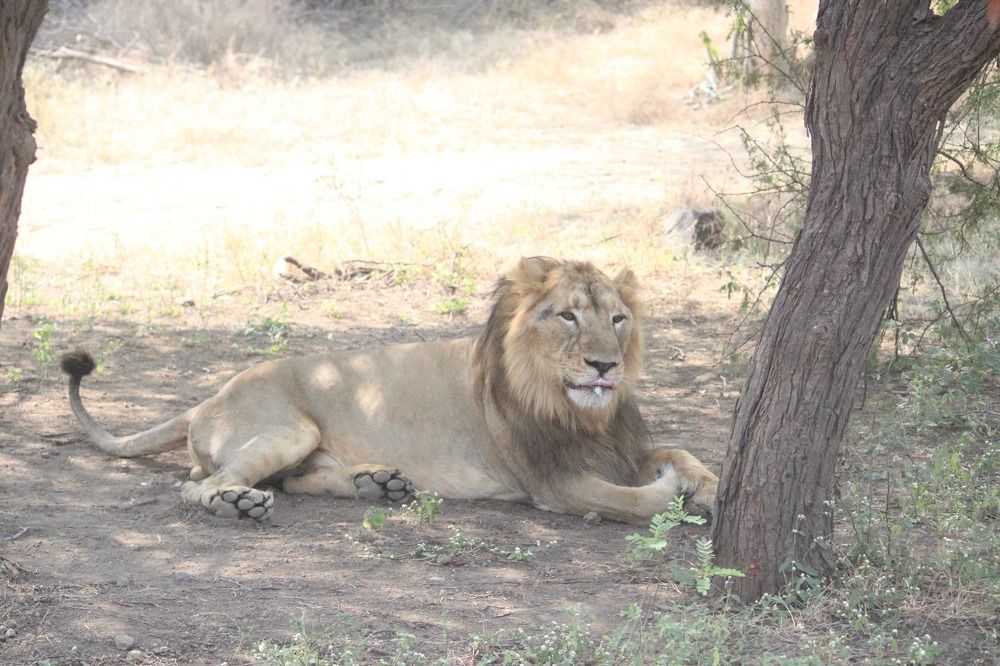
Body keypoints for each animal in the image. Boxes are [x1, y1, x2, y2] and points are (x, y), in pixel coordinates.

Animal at [61, 257, 718, 524]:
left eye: (619, 319)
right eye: (569, 317)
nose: (606, 366)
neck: (579, 410)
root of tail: (207, 398)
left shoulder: (617, 445)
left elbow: (680, 451)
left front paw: (708, 484)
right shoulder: (551, 480)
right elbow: (638, 501)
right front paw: (673, 492)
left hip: (302, 446)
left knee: (293, 481)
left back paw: (376, 484)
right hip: (287, 429)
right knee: (197, 486)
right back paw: (238, 504)